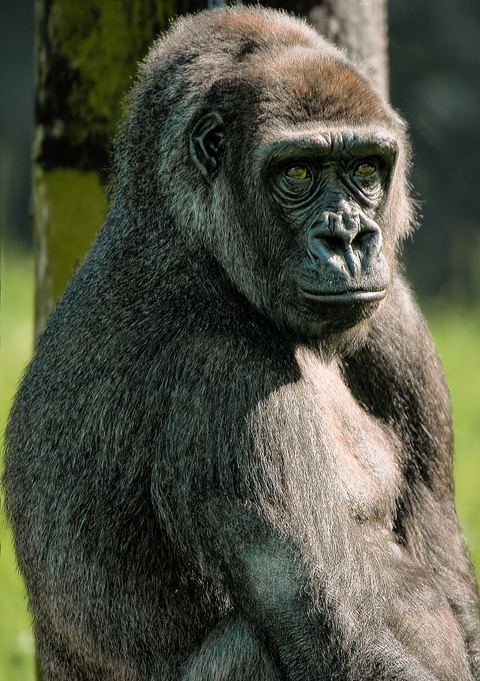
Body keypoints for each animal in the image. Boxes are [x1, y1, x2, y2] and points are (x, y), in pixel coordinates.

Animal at [4, 7, 480, 681]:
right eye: (297, 173)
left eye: (365, 169)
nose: (350, 240)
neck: (186, 233)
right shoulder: (223, 378)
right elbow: (342, 628)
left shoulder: (398, 318)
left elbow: (441, 561)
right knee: (253, 639)